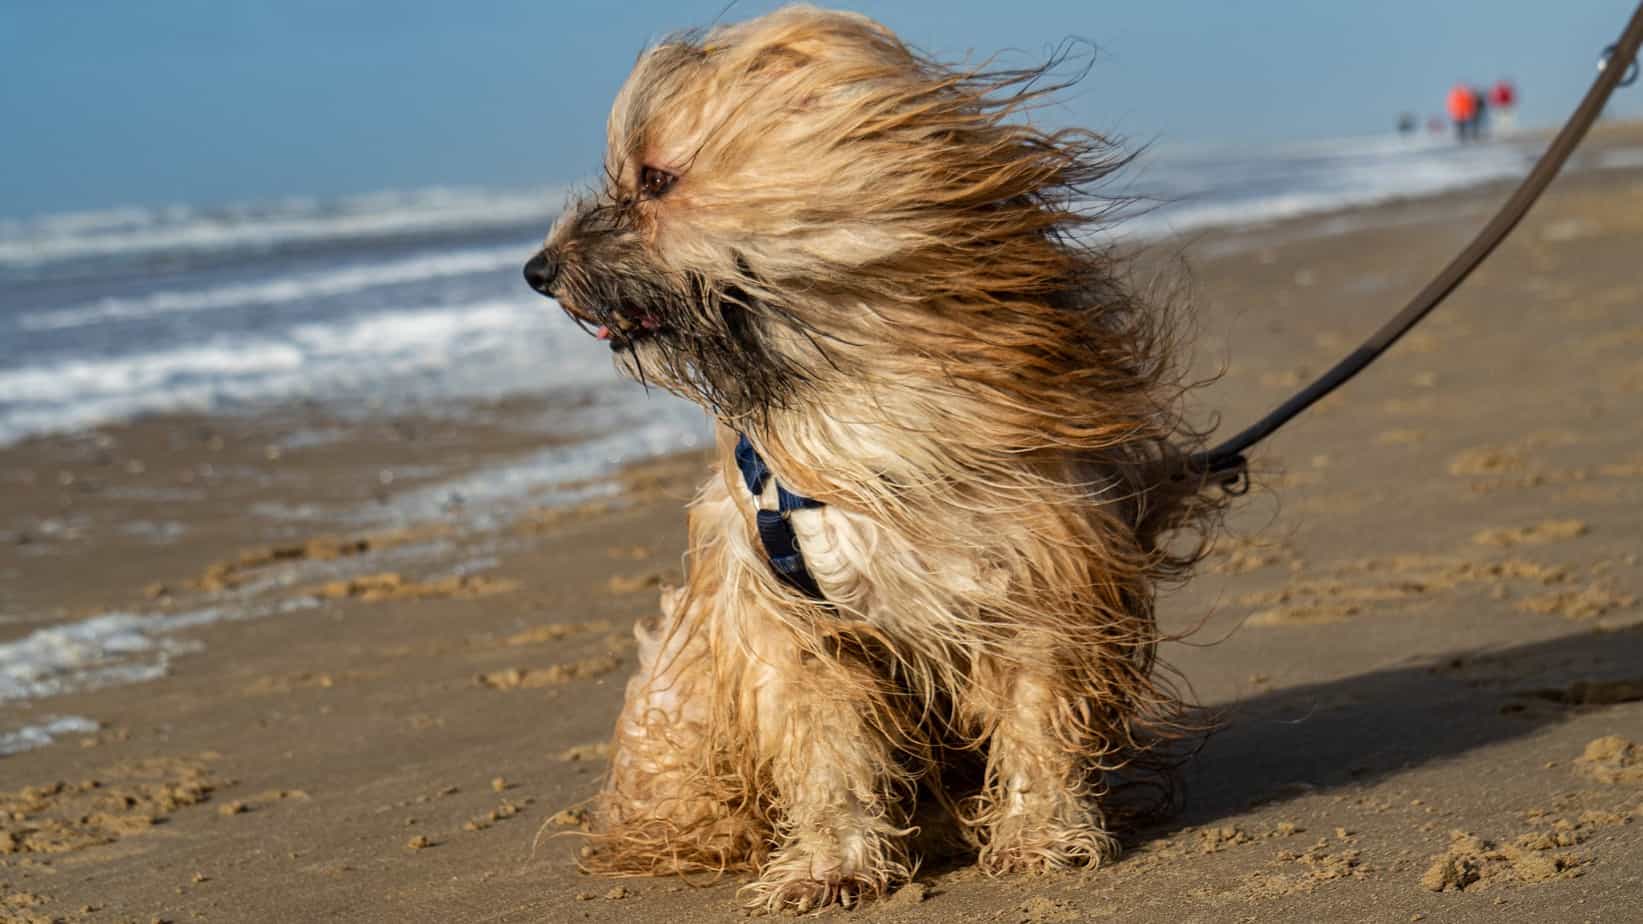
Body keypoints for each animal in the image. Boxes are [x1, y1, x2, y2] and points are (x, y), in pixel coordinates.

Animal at [522, 3, 1222, 907]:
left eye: (656, 180)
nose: (537, 269)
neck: (852, 402)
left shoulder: (1038, 576)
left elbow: (1037, 714)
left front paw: (1039, 833)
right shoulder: (791, 623)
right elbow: (827, 750)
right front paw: (829, 865)